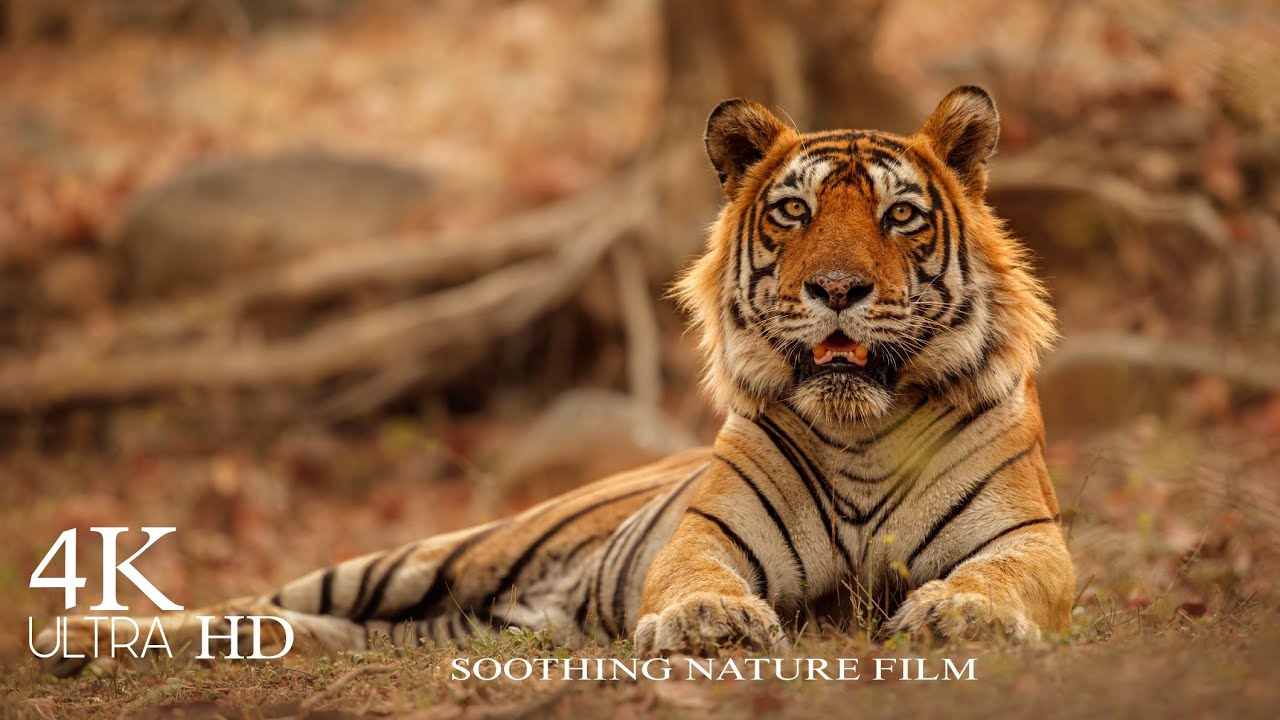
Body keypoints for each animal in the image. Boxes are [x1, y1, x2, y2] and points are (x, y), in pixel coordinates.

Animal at [37, 86, 1073, 675]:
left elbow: (1002, 574)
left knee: (312, 631)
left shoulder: (1030, 541)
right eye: (792, 212)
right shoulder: (705, 534)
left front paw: (963, 615)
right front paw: (708, 621)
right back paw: (85, 640)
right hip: (428, 557)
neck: (860, 428)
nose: (837, 289)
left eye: (900, 216)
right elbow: (696, 574)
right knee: (258, 603)